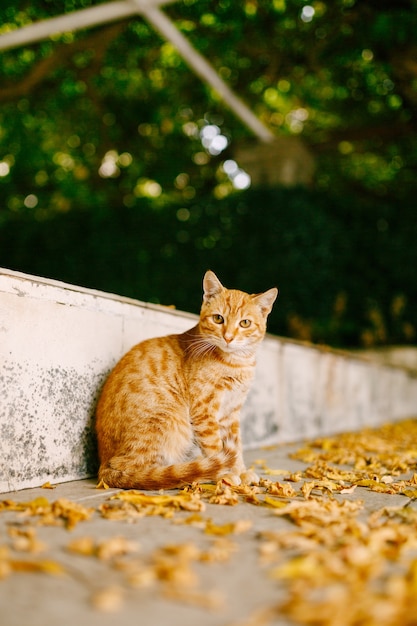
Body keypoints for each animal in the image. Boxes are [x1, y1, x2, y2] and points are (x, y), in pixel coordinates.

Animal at [94, 270, 276, 490]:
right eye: (218, 318)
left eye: (245, 323)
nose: (228, 337)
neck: (237, 363)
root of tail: (103, 466)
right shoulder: (205, 411)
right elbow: (216, 448)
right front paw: (227, 475)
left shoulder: (230, 413)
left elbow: (235, 447)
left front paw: (240, 471)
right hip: (170, 420)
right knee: (141, 472)